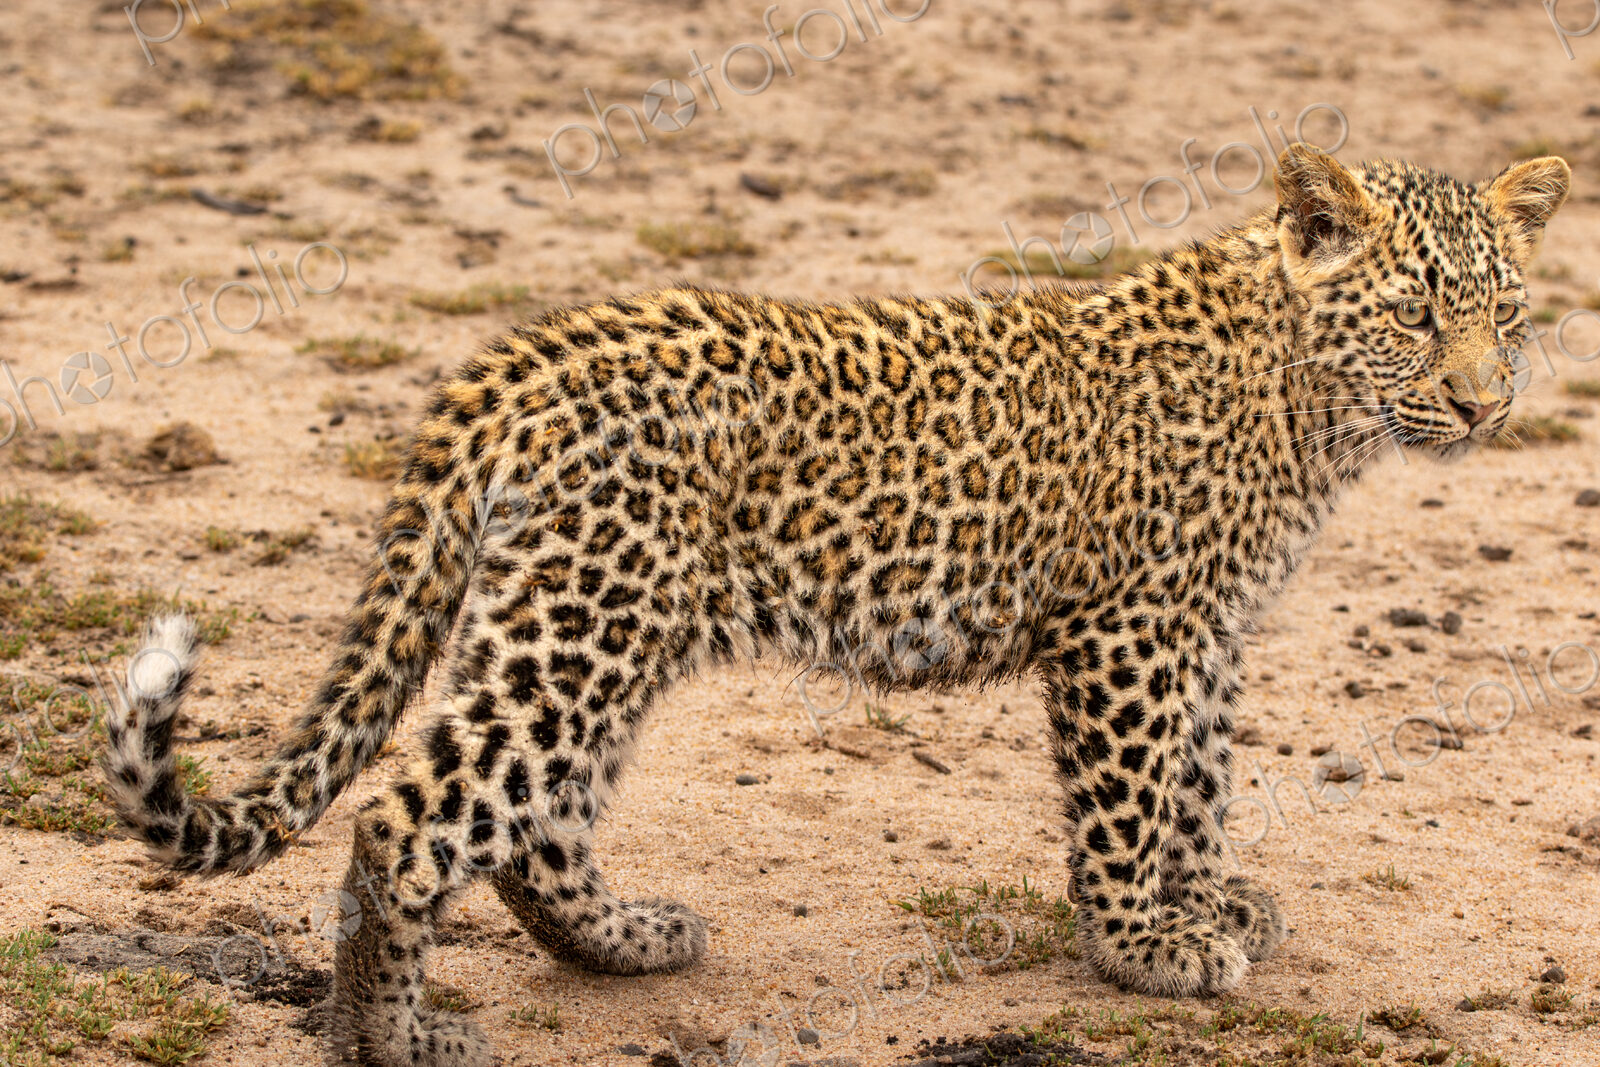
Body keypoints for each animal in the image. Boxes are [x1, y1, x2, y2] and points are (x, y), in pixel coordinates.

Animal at [102, 144, 1570, 1066]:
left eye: (1507, 313)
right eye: (1418, 313)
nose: (1483, 402)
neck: (1309, 405)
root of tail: (531, 353)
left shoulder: (1202, 631)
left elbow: (1199, 778)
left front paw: (1208, 900)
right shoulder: (1127, 628)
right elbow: (1130, 795)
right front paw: (1142, 943)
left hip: (607, 622)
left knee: (534, 820)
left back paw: (622, 942)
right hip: (587, 621)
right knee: (411, 815)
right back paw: (393, 1037)